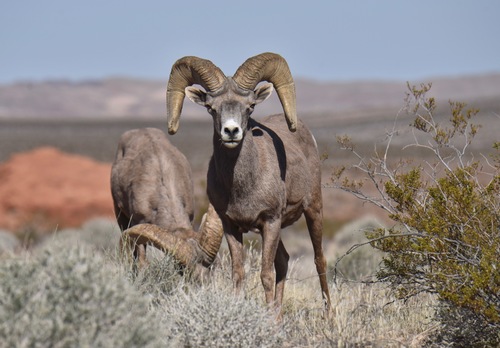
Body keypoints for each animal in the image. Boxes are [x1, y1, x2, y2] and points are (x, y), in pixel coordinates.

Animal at [166, 52, 332, 312]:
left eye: (250, 106)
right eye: (211, 108)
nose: (231, 131)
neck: (242, 186)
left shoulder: (270, 222)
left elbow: (265, 274)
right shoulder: (231, 227)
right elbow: (238, 273)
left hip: (313, 210)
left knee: (319, 260)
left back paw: (329, 316)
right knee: (283, 261)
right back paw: (279, 315)